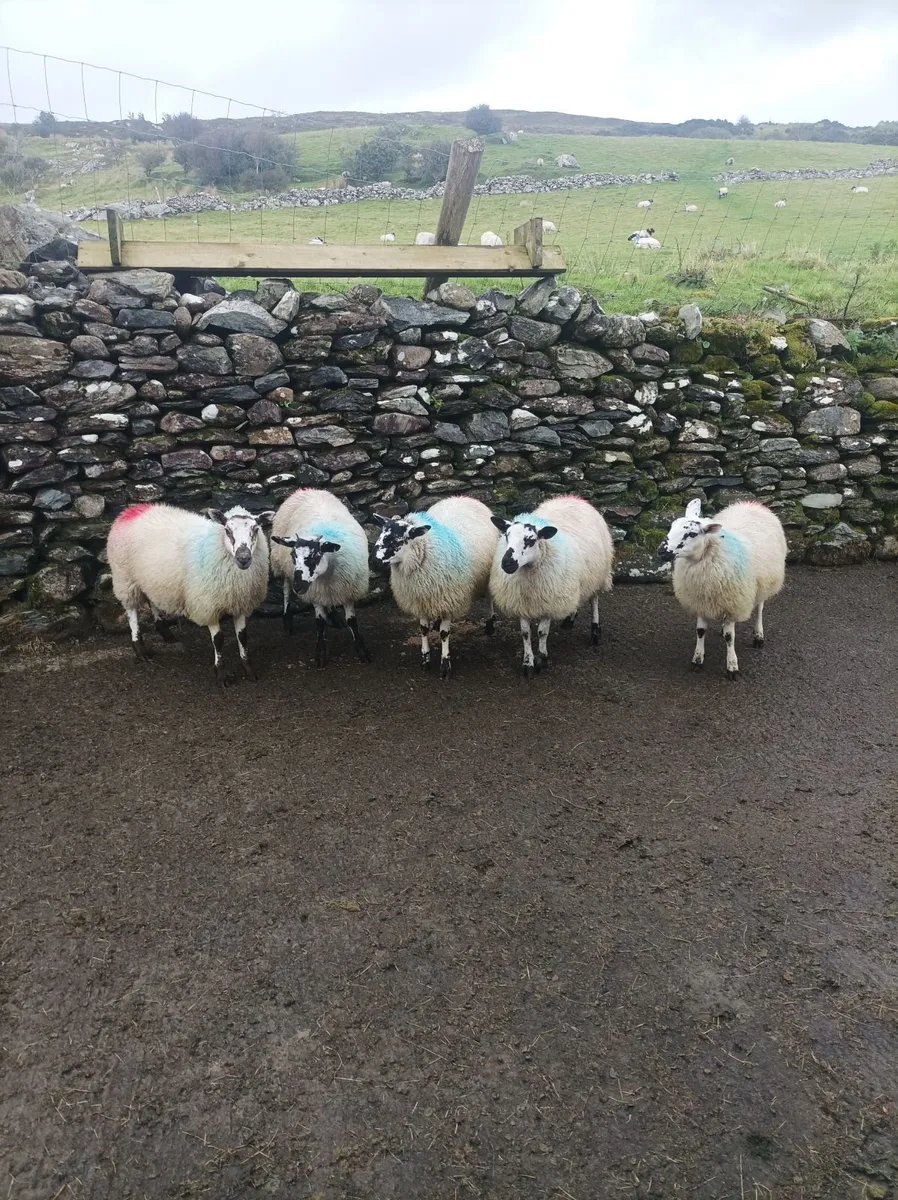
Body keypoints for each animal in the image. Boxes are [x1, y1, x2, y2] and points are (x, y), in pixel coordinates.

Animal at [107, 502, 273, 687]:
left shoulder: (240, 602)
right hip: (125, 578)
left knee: (152, 601)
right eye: (228, 530)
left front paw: (248, 670)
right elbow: (218, 639)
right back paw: (140, 649)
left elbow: (243, 637)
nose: (243, 558)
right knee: (131, 611)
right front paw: (221, 674)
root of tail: (131, 510)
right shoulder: (208, 604)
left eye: (255, 529)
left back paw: (165, 632)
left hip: (150, 579)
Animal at [270, 488, 371, 668]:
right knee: (286, 590)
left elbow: (352, 621)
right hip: (281, 564)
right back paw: (287, 620)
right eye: (293, 555)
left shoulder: (347, 589)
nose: (299, 586)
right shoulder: (314, 592)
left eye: (315, 556)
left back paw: (335, 617)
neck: (326, 574)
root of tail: (307, 489)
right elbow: (319, 622)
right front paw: (321, 652)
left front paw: (362, 651)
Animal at [372, 497, 499, 679]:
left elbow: (445, 634)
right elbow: (423, 630)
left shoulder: (449, 597)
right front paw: (425, 660)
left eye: (397, 540)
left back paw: (490, 623)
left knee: (489, 598)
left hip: (487, 572)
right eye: (381, 535)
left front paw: (445, 665)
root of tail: (464, 497)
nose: (372, 562)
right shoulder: (421, 599)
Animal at [490, 496, 614, 679]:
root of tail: (574, 498)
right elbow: (525, 633)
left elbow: (542, 632)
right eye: (506, 536)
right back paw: (569, 619)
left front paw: (542, 659)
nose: (507, 563)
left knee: (594, 601)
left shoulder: (550, 601)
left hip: (598, 575)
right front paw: (528, 663)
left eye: (531, 540)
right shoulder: (521, 602)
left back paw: (595, 632)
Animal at [658, 498, 787, 680]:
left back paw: (758, 636)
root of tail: (752, 503)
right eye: (672, 526)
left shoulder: (734, 601)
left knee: (759, 608)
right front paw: (697, 660)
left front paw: (732, 666)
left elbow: (729, 637)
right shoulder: (701, 599)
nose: (661, 550)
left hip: (764, 583)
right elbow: (700, 631)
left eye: (692, 534)